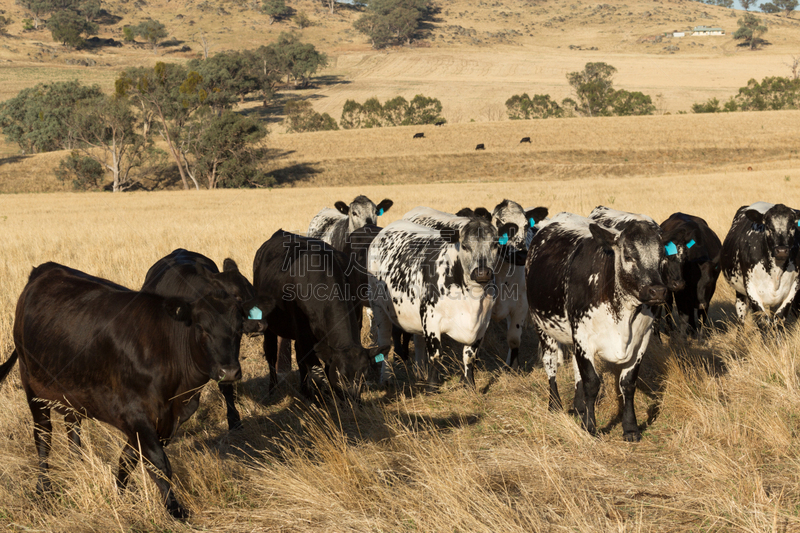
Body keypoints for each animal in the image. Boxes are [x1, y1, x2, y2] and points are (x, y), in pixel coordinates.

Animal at [0, 264, 245, 516]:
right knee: (43, 438)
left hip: (70, 391)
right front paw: (174, 509)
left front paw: (119, 493)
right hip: (33, 388)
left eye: (239, 328)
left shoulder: (165, 420)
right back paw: (44, 488)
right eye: (202, 328)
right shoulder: (135, 413)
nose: (229, 371)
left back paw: (77, 465)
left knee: (73, 430)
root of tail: (46, 268)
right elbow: (158, 462)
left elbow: (129, 458)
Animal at [252, 229, 386, 400]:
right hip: (269, 324)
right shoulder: (304, 335)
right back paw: (273, 390)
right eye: (340, 378)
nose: (353, 401)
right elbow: (317, 372)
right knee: (271, 354)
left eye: (363, 376)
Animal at [368, 215, 520, 386]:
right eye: (465, 246)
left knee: (418, 342)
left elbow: (470, 356)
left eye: (495, 244)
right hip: (378, 308)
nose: (482, 273)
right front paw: (432, 385)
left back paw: (420, 372)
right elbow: (435, 355)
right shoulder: (431, 319)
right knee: (385, 344)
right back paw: (386, 377)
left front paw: (469, 384)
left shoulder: (482, 324)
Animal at [524, 212, 668, 440]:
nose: (658, 291)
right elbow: (592, 383)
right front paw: (590, 426)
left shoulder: (641, 341)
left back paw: (579, 406)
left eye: (663, 256)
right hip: (543, 327)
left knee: (576, 369)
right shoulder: (584, 339)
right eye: (629, 255)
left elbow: (628, 384)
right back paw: (554, 405)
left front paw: (630, 428)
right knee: (551, 364)